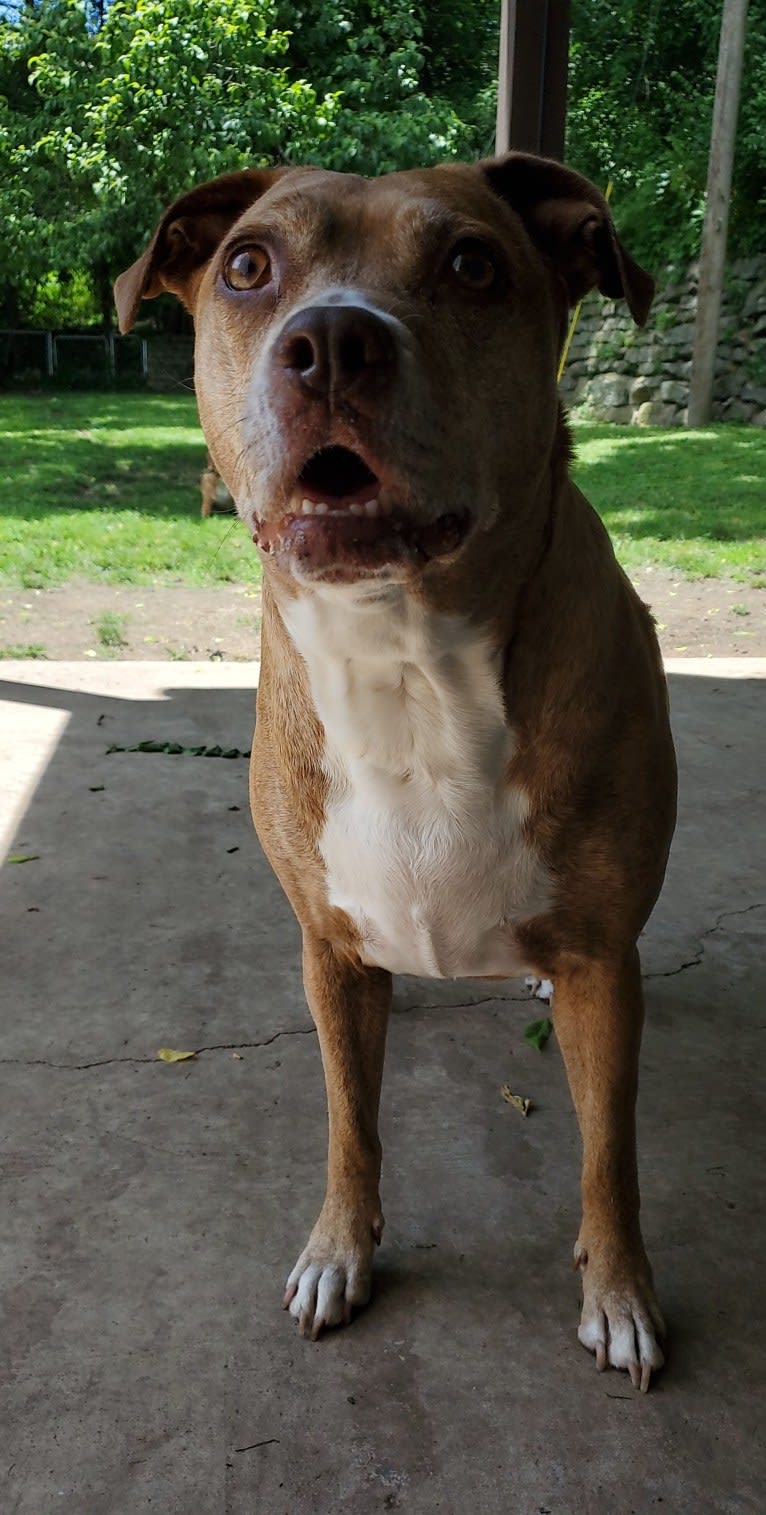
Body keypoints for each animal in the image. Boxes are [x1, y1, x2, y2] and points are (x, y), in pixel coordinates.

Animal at [113, 150, 675, 1387]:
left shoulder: (606, 971)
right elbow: (348, 1123)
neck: (405, 664)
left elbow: (610, 1151)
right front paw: (339, 1252)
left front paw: (619, 1293)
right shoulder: (329, 954)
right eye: (247, 266)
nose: (331, 341)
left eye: (471, 264)